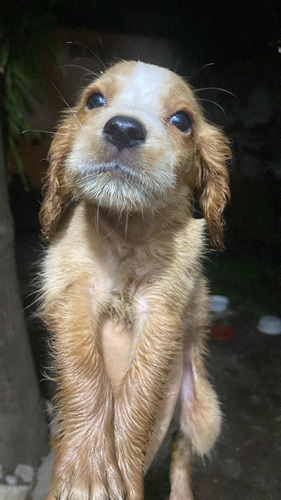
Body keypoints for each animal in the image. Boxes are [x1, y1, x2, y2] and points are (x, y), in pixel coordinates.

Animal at [40, 60, 230, 498]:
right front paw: (84, 470)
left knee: (181, 447)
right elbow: (85, 373)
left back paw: (180, 493)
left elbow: (139, 394)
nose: (124, 128)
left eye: (182, 121)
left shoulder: (161, 312)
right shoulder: (73, 294)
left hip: (204, 412)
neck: (128, 232)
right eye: (94, 100)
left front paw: (122, 470)